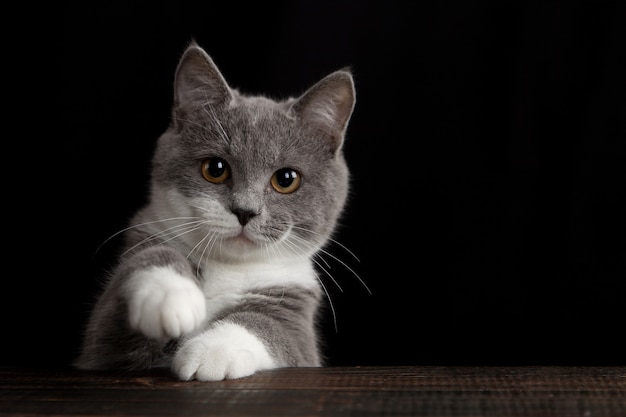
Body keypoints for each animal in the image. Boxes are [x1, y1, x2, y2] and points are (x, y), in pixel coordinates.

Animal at [73, 43, 356, 380]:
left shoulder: (295, 311)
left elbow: (272, 327)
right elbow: (147, 262)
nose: (245, 211)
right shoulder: (101, 346)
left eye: (287, 179)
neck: (228, 267)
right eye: (215, 169)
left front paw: (212, 351)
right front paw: (170, 296)